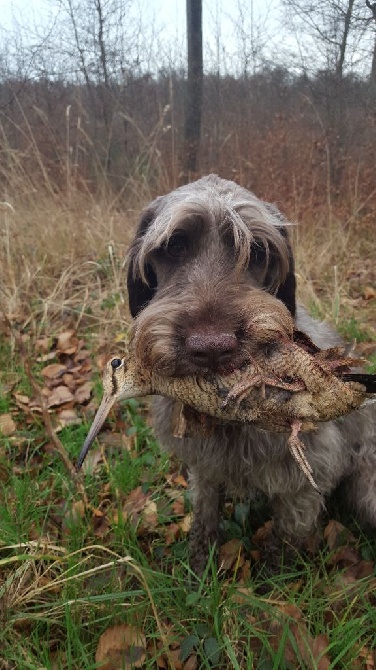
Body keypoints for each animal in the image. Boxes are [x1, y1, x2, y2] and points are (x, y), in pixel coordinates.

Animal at [126, 175, 376, 576]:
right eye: (175, 245)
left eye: (258, 251)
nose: (212, 348)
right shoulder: (205, 465)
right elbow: (204, 515)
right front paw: (199, 566)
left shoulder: (309, 477)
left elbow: (286, 536)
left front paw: (273, 580)